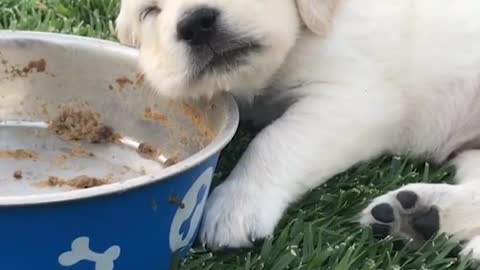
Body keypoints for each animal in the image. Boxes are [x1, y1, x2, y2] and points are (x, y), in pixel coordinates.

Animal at [116, 0, 480, 258]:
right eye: (150, 12)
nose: (196, 24)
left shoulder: (355, 99)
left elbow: (274, 141)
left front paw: (238, 204)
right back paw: (420, 216)